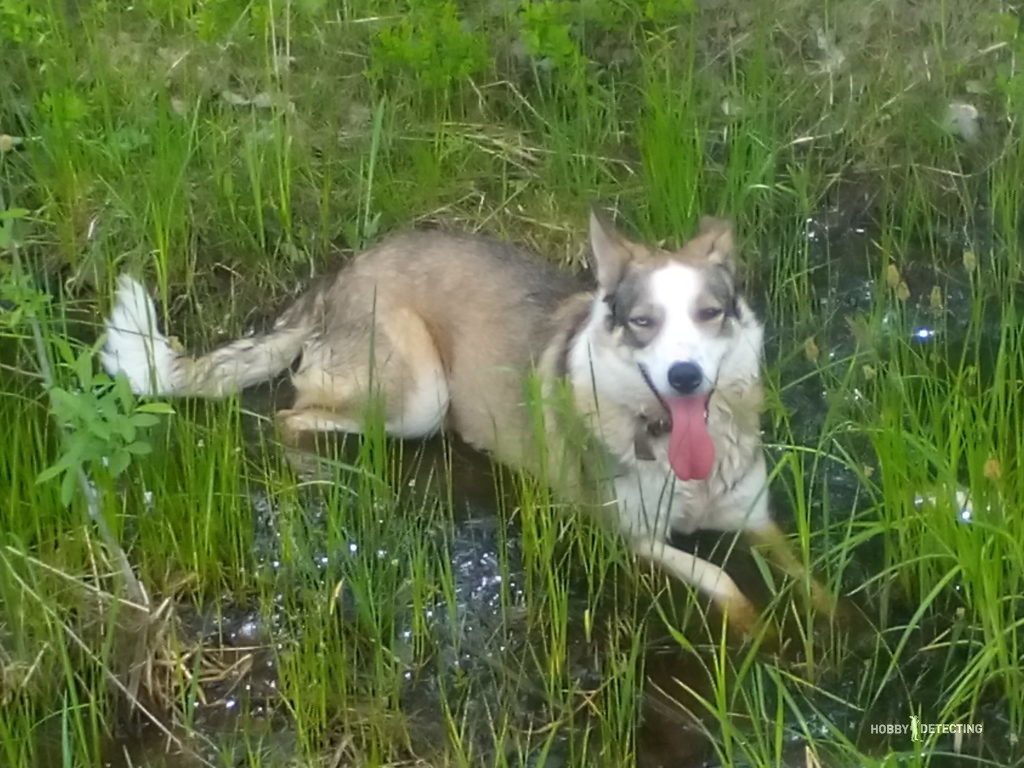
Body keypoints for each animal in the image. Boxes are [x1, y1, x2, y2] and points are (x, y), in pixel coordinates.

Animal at [103, 210, 835, 630]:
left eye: (709, 315)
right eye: (642, 323)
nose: (685, 377)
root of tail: (344, 271)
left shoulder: (755, 519)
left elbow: (810, 577)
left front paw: (837, 629)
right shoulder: (629, 537)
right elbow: (724, 582)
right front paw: (758, 632)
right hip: (416, 397)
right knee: (292, 414)